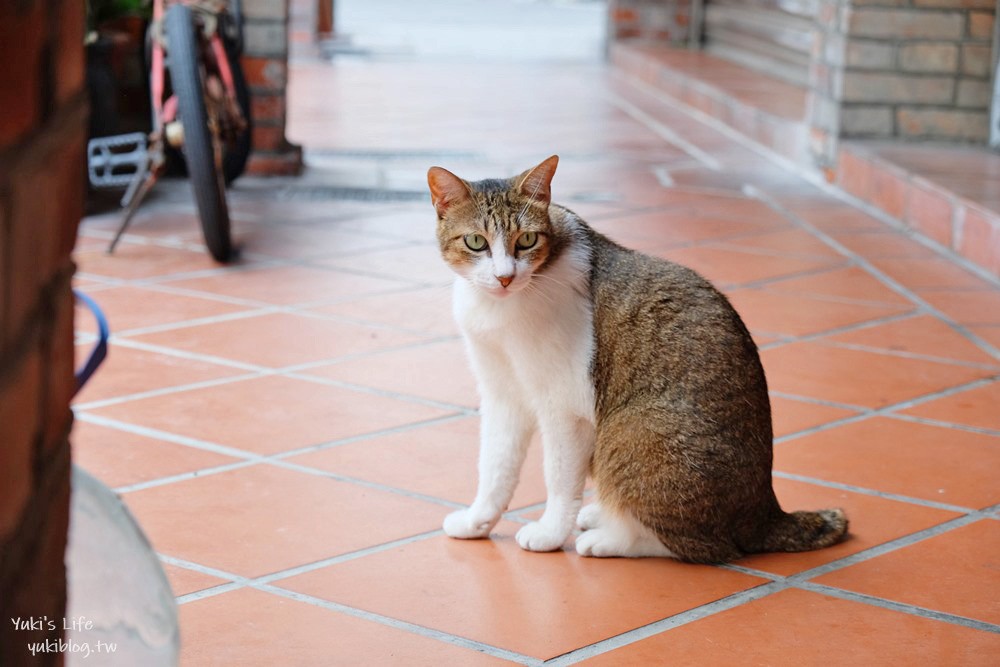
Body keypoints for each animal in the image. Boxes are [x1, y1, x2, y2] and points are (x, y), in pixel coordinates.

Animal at [426, 157, 848, 564]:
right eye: (476, 242)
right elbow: (495, 468)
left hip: (630, 430)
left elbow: (558, 478)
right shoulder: (503, 395)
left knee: (706, 547)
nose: (504, 277)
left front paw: (550, 533)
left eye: (526, 240)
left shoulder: (565, 406)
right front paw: (477, 521)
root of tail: (766, 512)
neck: (502, 310)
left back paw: (610, 539)